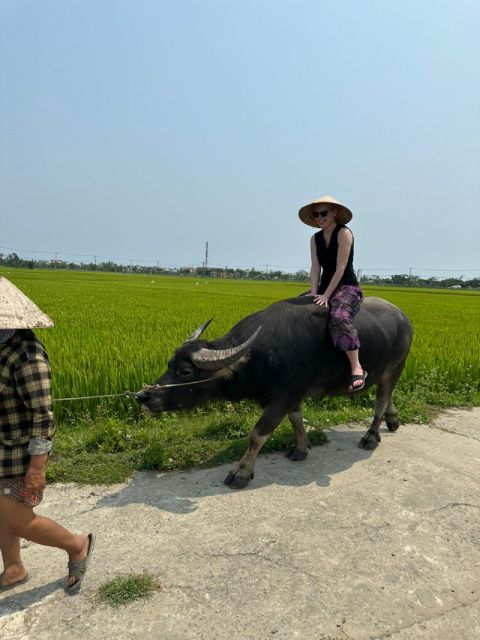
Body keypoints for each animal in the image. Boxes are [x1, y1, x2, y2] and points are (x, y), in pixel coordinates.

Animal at [134, 298, 412, 488]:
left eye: (185, 372)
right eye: (169, 364)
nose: (143, 396)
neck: (260, 356)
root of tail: (403, 317)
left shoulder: (282, 398)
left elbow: (257, 434)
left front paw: (241, 473)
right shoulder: (291, 396)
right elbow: (296, 419)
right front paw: (301, 448)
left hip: (396, 366)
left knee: (381, 399)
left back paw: (371, 436)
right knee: (388, 396)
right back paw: (393, 420)